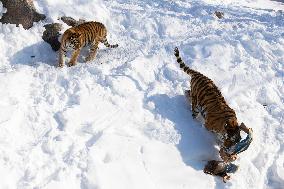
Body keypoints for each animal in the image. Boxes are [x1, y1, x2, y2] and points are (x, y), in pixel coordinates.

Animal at [174, 47, 252, 182]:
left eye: (236, 142)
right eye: (230, 139)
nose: (229, 149)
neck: (229, 124)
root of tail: (199, 74)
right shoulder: (208, 126)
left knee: (186, 92)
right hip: (197, 105)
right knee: (193, 109)